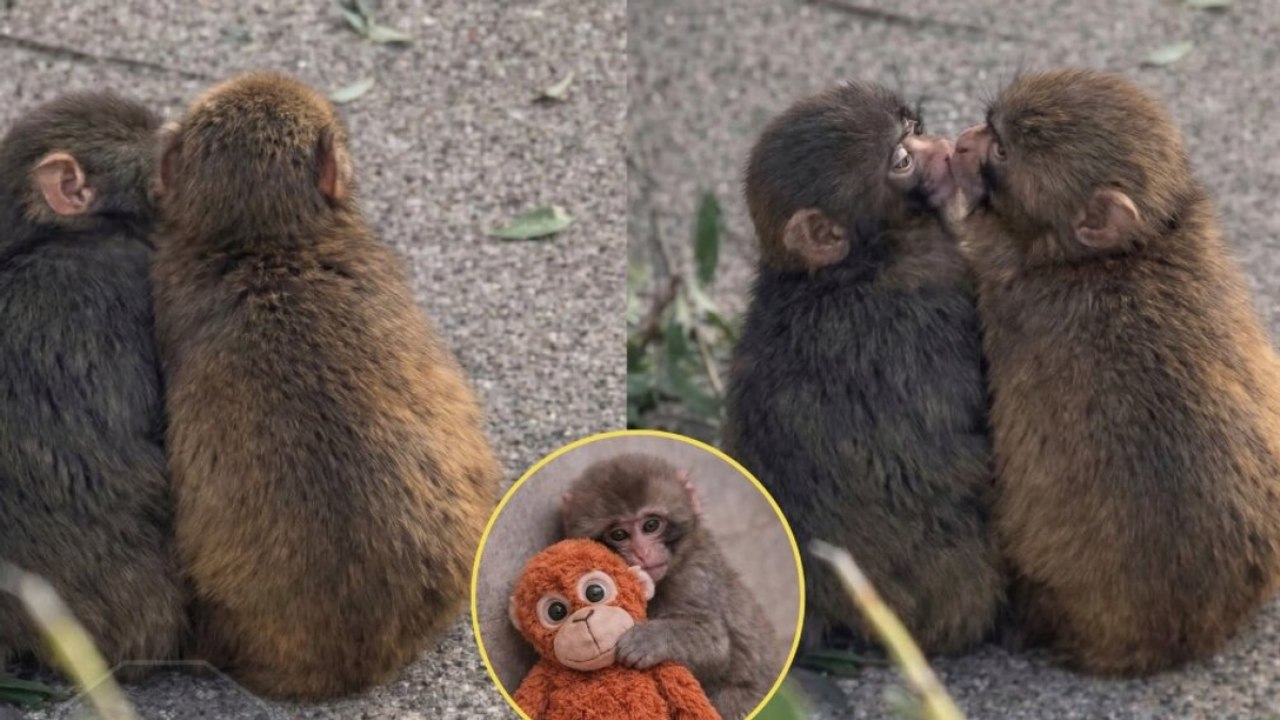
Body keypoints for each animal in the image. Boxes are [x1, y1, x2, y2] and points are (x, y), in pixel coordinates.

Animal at [560, 453, 778, 720]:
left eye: (651, 525)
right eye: (619, 534)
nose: (643, 553)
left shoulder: (694, 574)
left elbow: (715, 644)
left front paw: (646, 640)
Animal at [944, 68, 1280, 675]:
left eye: (1000, 150)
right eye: (988, 126)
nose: (961, 141)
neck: (1119, 253)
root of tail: (1181, 639)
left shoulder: (1002, 283)